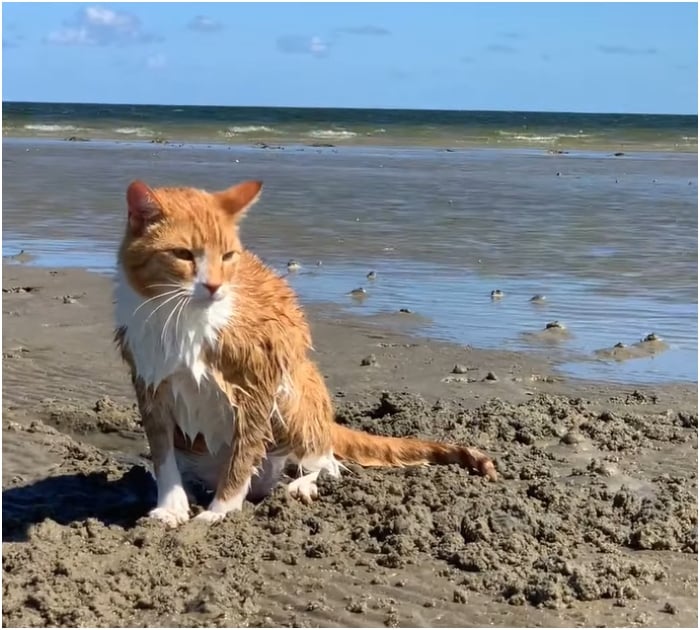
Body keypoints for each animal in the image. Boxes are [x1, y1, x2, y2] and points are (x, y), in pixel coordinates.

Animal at [115, 179, 494, 528]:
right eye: (182, 254)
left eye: (227, 256)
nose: (214, 286)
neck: (181, 317)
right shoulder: (150, 386)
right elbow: (163, 456)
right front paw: (171, 507)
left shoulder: (257, 387)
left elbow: (242, 457)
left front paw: (220, 512)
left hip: (294, 389)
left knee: (326, 462)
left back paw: (301, 486)